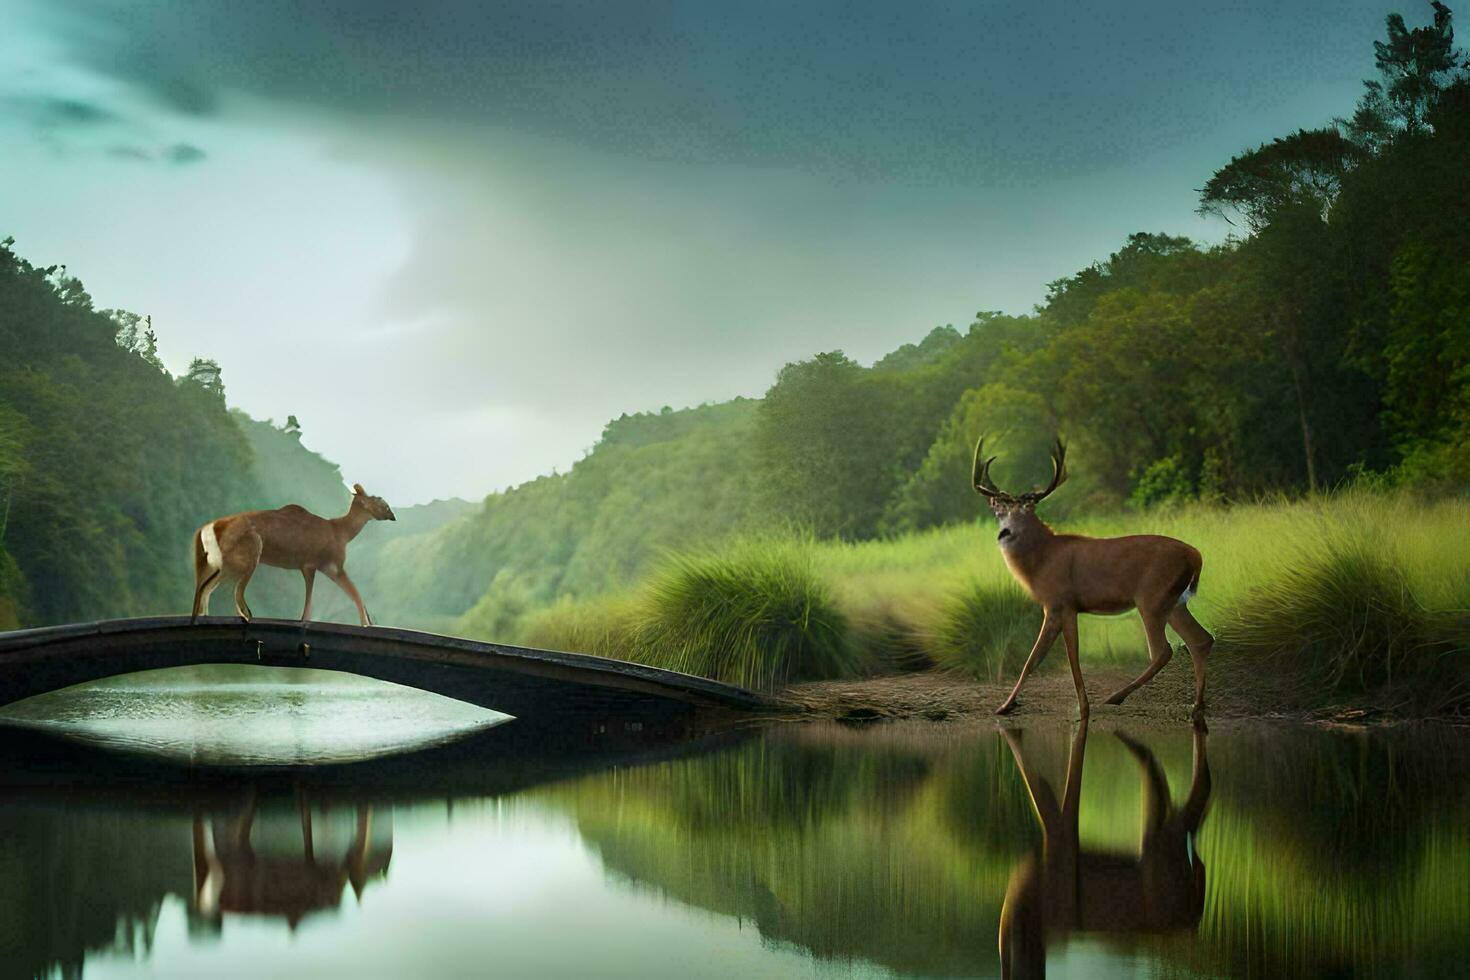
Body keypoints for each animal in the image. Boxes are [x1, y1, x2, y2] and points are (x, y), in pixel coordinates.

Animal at [191, 484, 396, 628]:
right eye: (381, 501)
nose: (392, 515)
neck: (342, 533)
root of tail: (207, 528)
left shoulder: (327, 567)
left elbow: (351, 591)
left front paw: (368, 622)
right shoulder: (317, 564)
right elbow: (330, 594)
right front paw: (366, 623)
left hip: (224, 563)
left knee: (207, 587)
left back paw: (204, 616)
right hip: (249, 553)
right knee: (233, 589)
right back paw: (245, 615)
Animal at [970, 437, 1211, 719]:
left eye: (1027, 509)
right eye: (999, 510)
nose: (1005, 532)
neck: (1043, 559)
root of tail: (1196, 556)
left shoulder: (1061, 603)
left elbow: (1062, 658)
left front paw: (1081, 708)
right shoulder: (1057, 607)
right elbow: (1035, 659)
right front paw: (1007, 705)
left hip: (1152, 597)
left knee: (1163, 650)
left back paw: (1115, 698)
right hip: (1174, 602)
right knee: (1200, 640)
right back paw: (1196, 706)